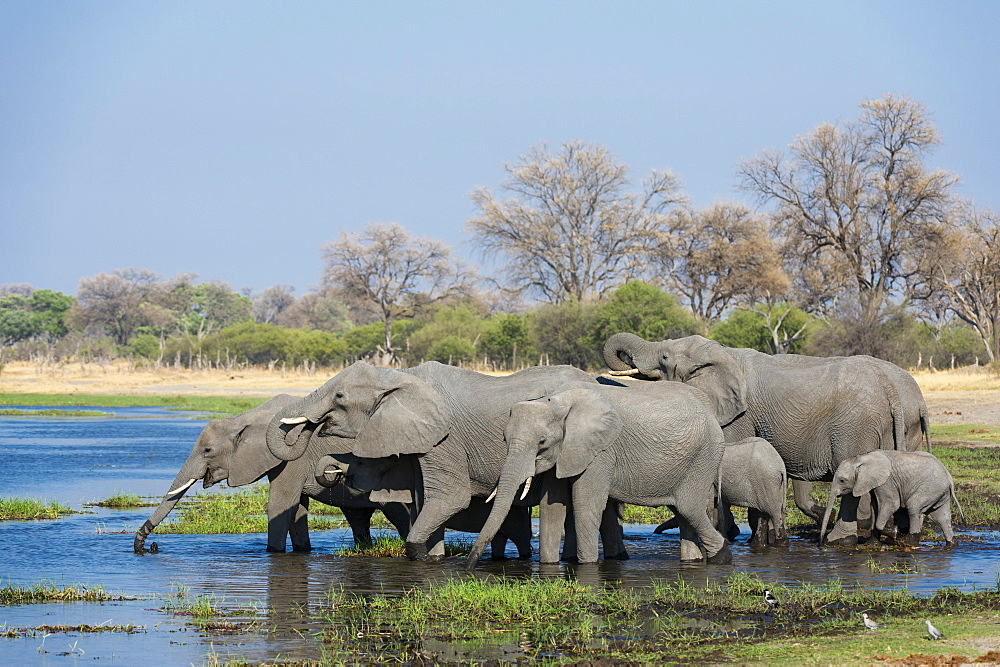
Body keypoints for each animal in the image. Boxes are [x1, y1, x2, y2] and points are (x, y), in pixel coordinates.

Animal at [134, 394, 414, 556]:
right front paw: (302, 551)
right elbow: (296, 508)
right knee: (358, 518)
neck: (245, 418)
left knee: (398, 513)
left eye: (207, 450)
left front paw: (274, 553)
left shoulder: (293, 454)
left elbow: (280, 503)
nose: (150, 545)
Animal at [262, 362, 620, 560]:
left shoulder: (445, 438)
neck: (400, 377)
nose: (328, 468)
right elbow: (424, 500)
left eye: (339, 397)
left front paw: (420, 555)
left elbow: (449, 498)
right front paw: (435, 557)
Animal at [656, 438, 788, 548]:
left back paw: (780, 544)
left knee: (774, 514)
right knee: (763, 513)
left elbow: (710, 508)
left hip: (767, 481)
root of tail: (780, 465)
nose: (656, 532)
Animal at [816, 448, 964, 548]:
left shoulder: (887, 481)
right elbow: (875, 508)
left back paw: (907, 543)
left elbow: (891, 504)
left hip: (931, 487)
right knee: (942, 518)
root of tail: (949, 478)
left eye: (842, 480)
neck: (862, 458)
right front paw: (872, 545)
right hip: (940, 492)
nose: (821, 544)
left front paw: (895, 533)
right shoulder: (874, 483)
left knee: (914, 506)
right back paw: (952, 544)